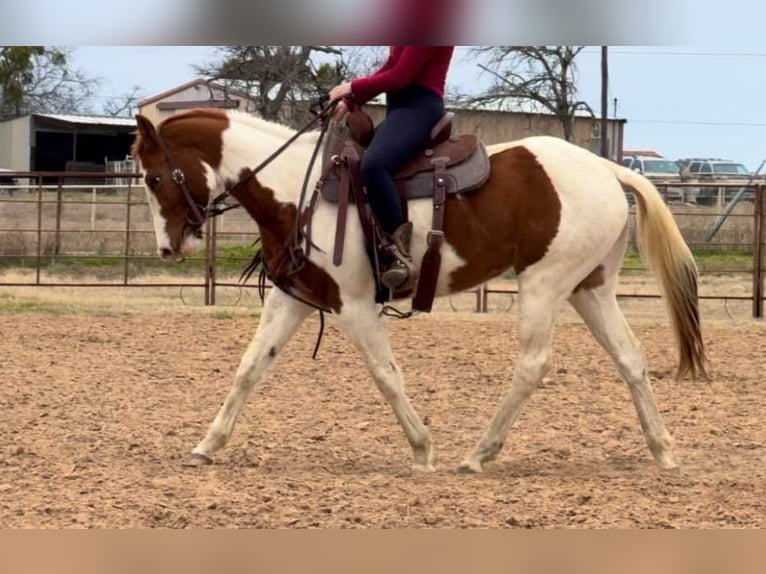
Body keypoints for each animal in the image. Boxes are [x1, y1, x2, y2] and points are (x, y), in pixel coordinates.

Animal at [131, 106, 706, 474]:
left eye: (153, 178)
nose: (166, 247)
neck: (302, 188)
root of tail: (606, 168)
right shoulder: (294, 298)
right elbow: (251, 368)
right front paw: (207, 445)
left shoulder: (354, 306)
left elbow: (386, 375)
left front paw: (422, 449)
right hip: (590, 288)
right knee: (630, 357)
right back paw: (662, 448)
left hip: (544, 284)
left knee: (533, 364)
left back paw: (478, 454)